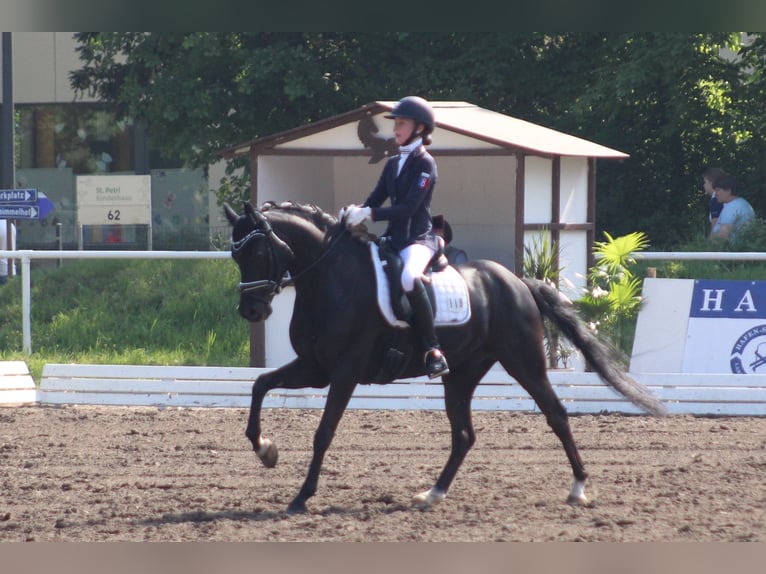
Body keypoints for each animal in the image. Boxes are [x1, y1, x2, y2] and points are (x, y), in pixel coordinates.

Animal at [224, 201, 664, 512]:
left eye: (258, 253)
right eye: (236, 257)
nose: (251, 312)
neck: (331, 280)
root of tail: (518, 281)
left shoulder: (344, 374)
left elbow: (323, 433)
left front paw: (301, 496)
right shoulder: (315, 368)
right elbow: (259, 385)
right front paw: (265, 450)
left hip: (524, 362)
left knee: (556, 414)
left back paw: (578, 489)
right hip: (462, 374)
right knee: (464, 434)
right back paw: (432, 494)